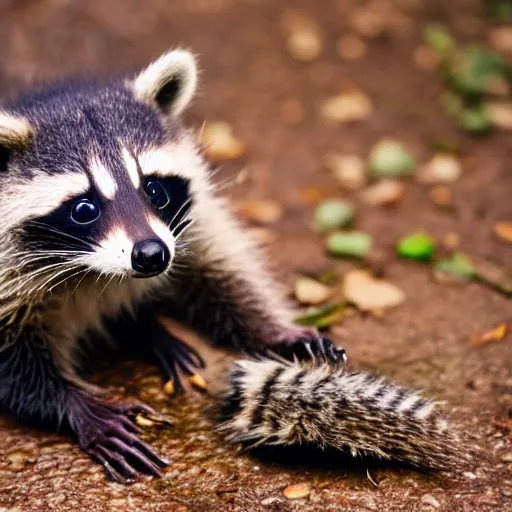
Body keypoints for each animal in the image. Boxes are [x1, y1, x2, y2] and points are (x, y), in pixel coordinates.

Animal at [1, 50, 344, 482]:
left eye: (154, 189)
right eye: (84, 209)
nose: (151, 254)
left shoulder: (186, 223)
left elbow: (219, 269)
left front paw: (272, 331)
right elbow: (14, 362)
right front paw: (77, 404)